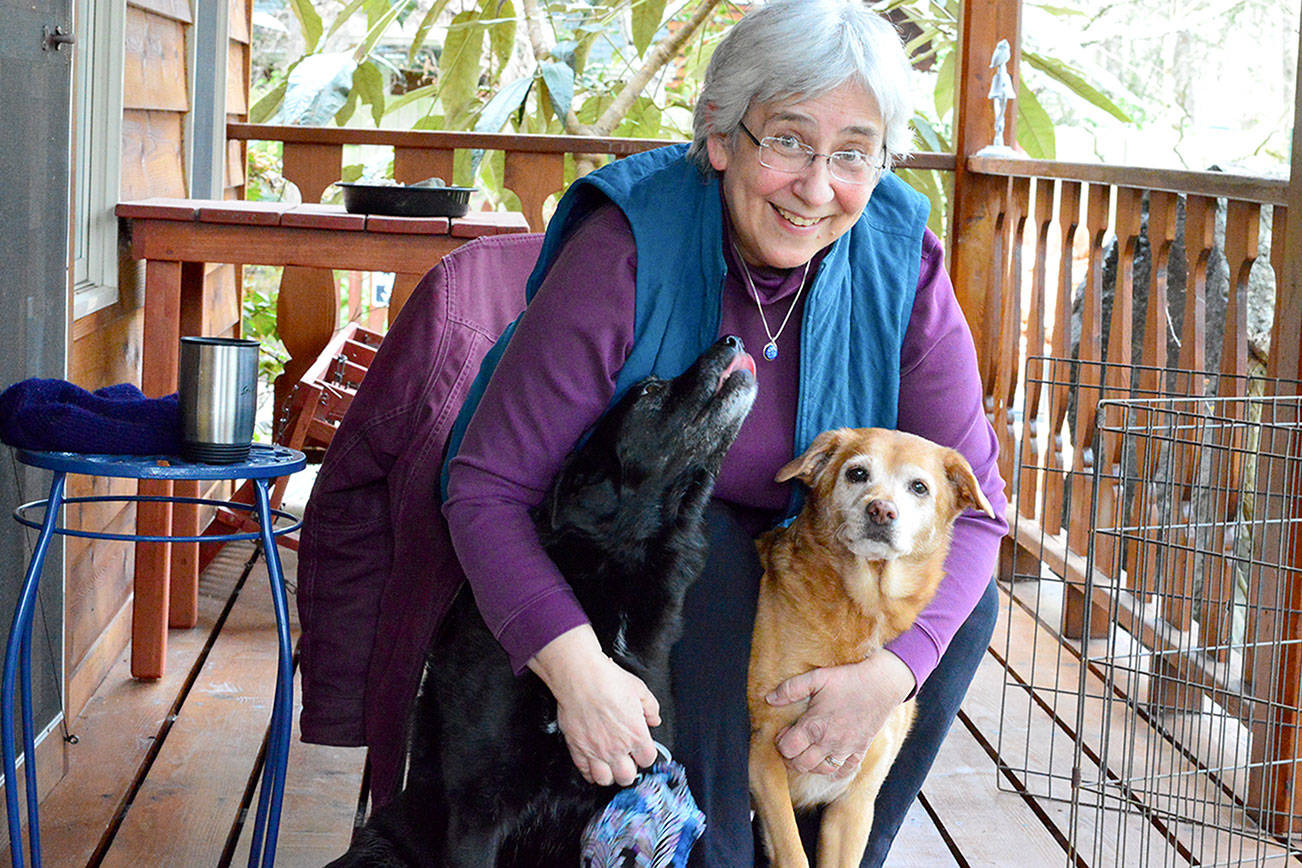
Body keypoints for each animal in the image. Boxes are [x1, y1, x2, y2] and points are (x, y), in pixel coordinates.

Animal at [749, 429, 989, 868]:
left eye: (919, 487)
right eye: (857, 473)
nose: (881, 510)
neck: (862, 606)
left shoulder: (855, 804)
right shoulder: (763, 761)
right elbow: (793, 854)